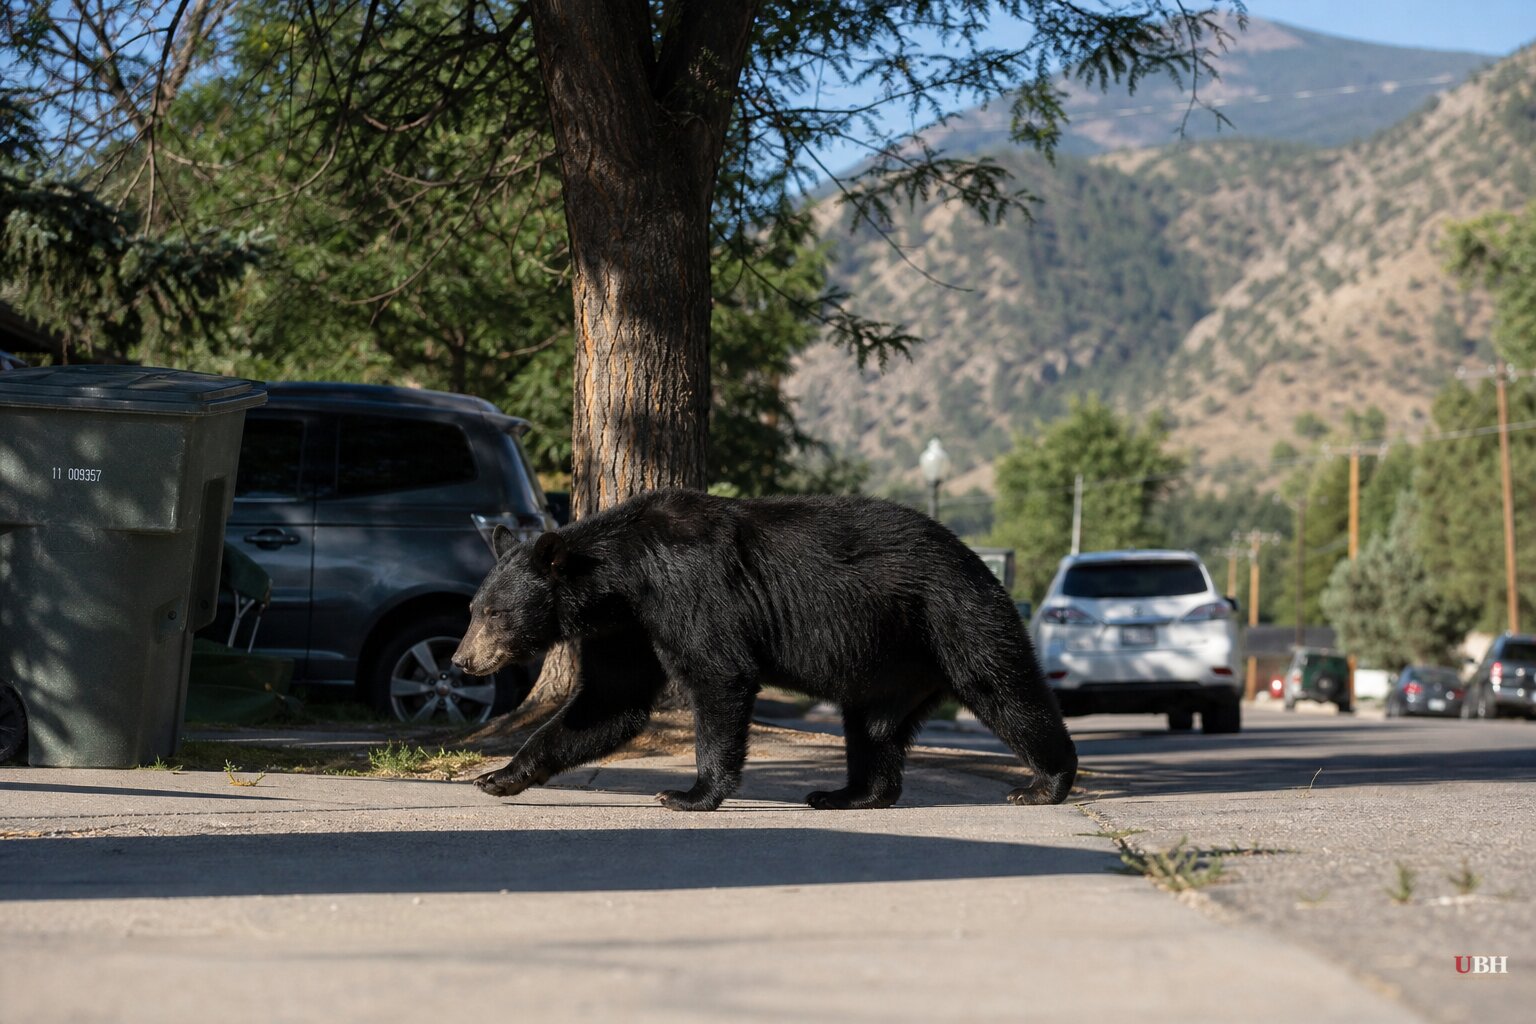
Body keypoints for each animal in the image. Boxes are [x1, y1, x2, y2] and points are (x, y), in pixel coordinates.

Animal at [453, 488, 1076, 811]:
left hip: (954, 617)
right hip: (886, 666)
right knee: (873, 727)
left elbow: (719, 674)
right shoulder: (628, 627)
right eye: (473, 610)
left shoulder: (690, 591)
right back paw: (846, 793)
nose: (462, 660)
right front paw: (499, 776)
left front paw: (689, 793)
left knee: (1004, 687)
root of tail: (975, 558)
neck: (626, 577)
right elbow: (610, 699)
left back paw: (1044, 783)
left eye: (495, 614)